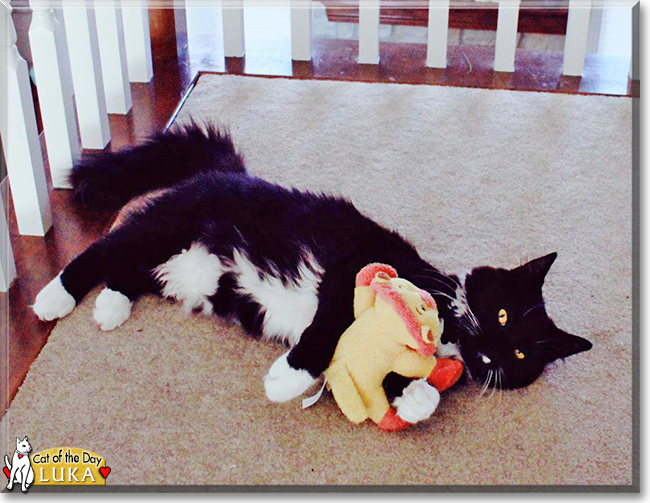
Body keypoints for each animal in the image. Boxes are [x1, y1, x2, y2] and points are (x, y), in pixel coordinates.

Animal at [31, 125, 592, 426]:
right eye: (502, 313)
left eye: (520, 356)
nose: (495, 347)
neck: (451, 328)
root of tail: (226, 171)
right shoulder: (353, 273)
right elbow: (327, 331)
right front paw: (286, 378)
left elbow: (406, 376)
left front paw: (416, 398)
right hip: (170, 227)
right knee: (105, 248)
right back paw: (54, 297)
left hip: (190, 267)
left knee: (132, 270)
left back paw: (111, 305)